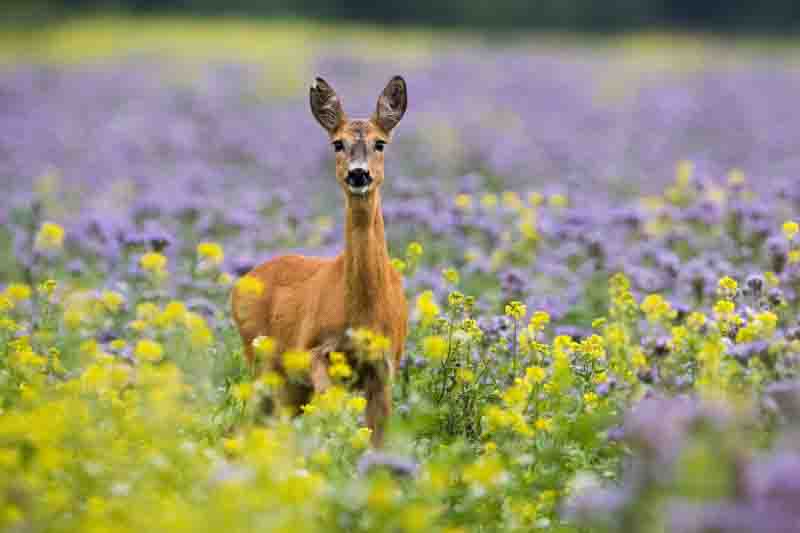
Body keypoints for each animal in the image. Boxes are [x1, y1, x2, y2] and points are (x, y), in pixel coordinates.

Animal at [231, 76, 409, 447]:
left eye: (380, 143)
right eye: (337, 143)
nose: (359, 174)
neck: (364, 314)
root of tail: (241, 283)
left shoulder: (386, 365)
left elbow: (379, 439)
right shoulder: (314, 351)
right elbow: (332, 412)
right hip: (262, 360)